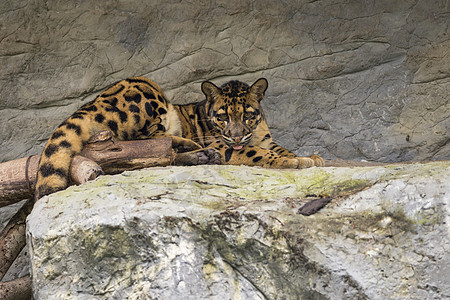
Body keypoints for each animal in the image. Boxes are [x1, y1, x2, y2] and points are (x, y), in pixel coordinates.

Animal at [35, 77, 324, 199]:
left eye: (248, 115)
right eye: (223, 117)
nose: (236, 136)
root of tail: (91, 104)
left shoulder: (263, 139)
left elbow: (282, 148)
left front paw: (310, 157)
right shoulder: (229, 145)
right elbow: (261, 154)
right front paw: (298, 162)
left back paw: (201, 155)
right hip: (145, 89)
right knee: (148, 141)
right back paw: (194, 146)